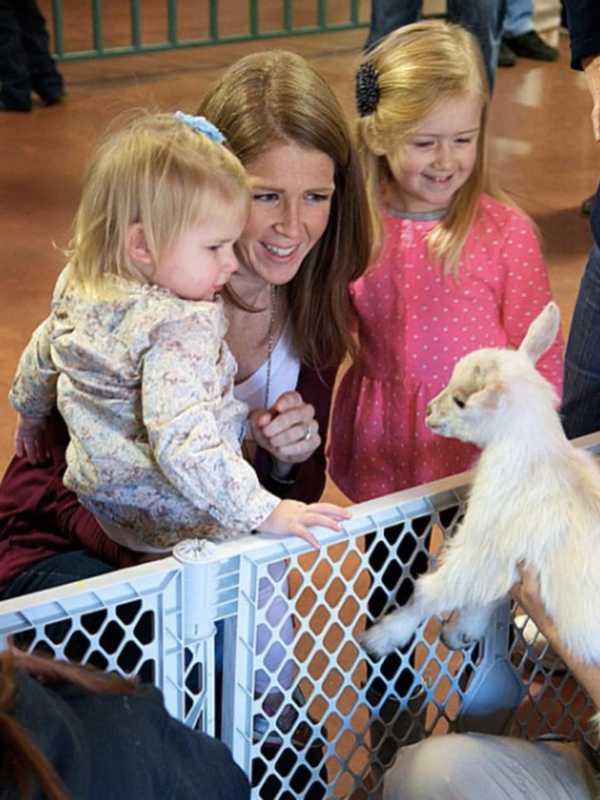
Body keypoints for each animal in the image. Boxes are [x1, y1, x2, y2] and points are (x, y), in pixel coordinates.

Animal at [360, 304, 600, 664]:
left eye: (462, 401)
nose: (428, 411)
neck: (539, 459)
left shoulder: (483, 548)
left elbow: (433, 593)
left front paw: (381, 638)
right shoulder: (505, 561)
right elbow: (490, 597)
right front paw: (460, 633)